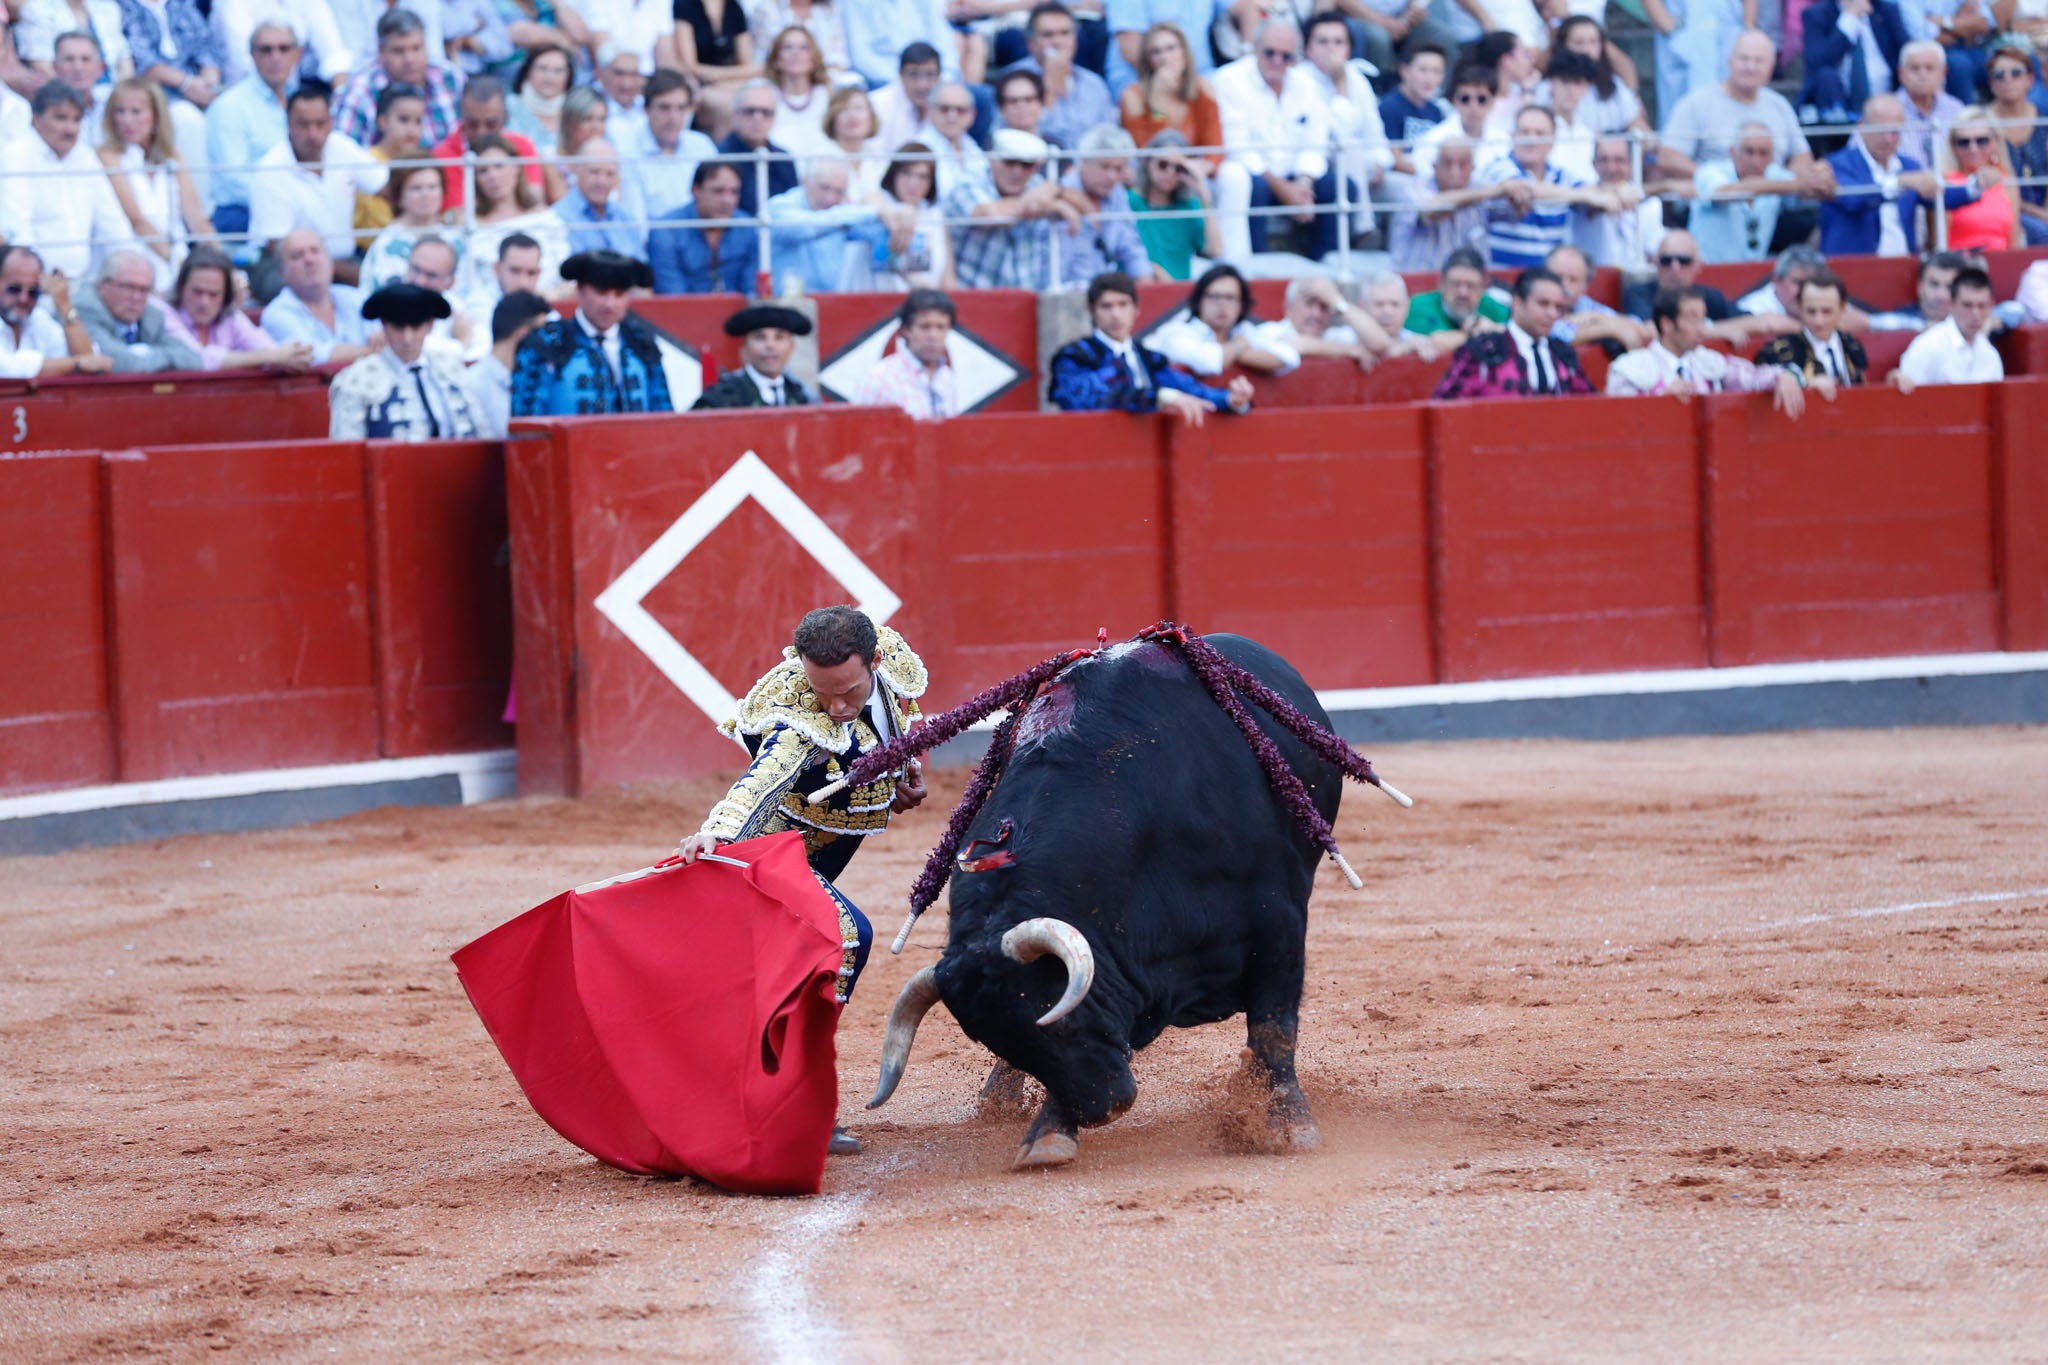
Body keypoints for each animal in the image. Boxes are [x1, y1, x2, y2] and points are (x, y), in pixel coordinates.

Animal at [868, 634, 1335, 1170]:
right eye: (1002, 1040)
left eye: (1059, 1020)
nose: (1104, 1108)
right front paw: (1049, 1133)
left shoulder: (1278, 925)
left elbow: (1274, 1029)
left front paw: (1288, 1125)